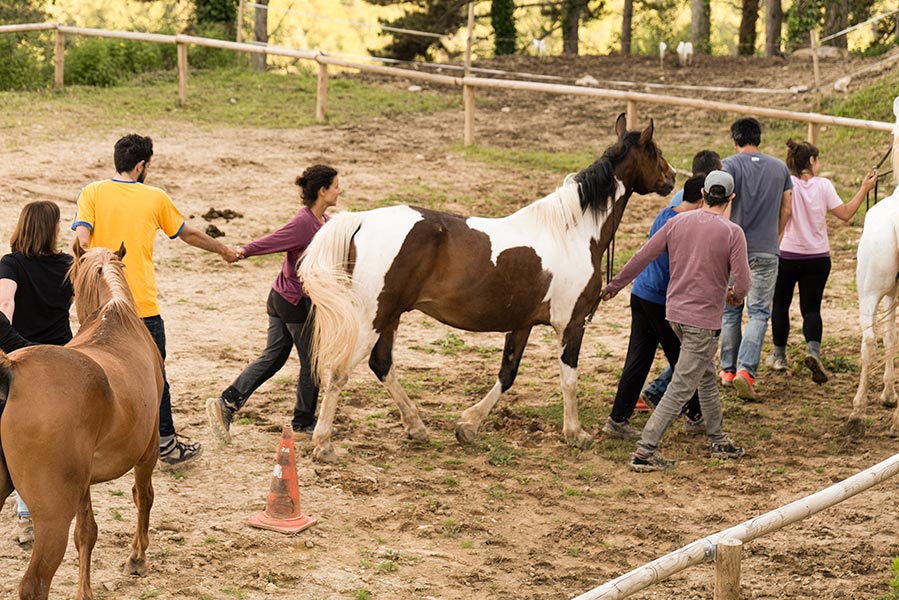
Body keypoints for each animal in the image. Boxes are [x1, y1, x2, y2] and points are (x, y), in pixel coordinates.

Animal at [0, 244, 163, 600]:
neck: (114, 316)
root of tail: (12, 369)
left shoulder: (84, 481)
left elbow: (87, 532)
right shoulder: (149, 448)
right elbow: (143, 496)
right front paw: (137, 556)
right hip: (52, 517)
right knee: (35, 583)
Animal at [298, 114, 676, 463]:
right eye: (655, 150)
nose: (672, 177)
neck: (572, 232)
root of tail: (361, 219)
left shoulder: (522, 324)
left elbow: (507, 375)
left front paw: (468, 426)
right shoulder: (571, 324)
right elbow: (569, 378)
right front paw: (576, 434)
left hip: (389, 317)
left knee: (382, 365)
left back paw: (416, 426)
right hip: (372, 318)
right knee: (339, 372)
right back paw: (324, 444)